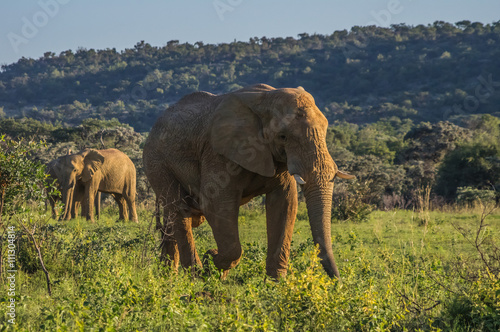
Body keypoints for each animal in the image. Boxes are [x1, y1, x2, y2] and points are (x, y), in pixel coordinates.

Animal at [144, 84, 356, 278]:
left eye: (326, 130)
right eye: (283, 136)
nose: (338, 281)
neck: (266, 99)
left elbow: (285, 204)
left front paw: (275, 285)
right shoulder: (218, 153)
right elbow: (215, 203)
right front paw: (211, 259)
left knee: (173, 218)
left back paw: (168, 276)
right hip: (157, 163)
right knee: (180, 212)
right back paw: (195, 276)